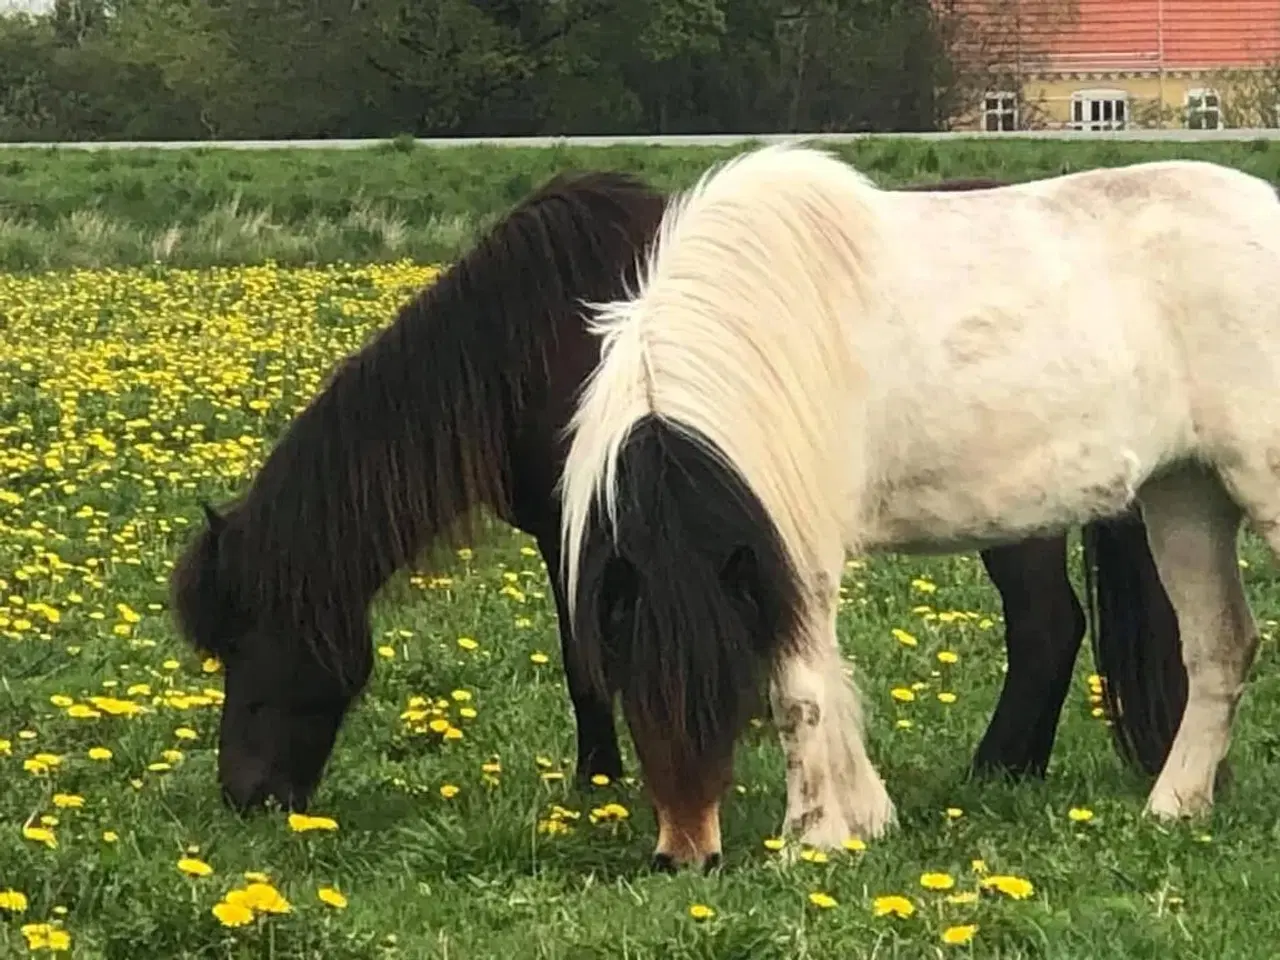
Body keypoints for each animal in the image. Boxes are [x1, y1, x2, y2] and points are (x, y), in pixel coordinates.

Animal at [169, 163, 1180, 821]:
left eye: (250, 643)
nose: (245, 796)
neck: (542, 338)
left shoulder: (588, 526)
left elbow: (584, 662)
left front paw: (599, 785)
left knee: (1045, 626)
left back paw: (993, 772)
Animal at [558, 142, 1270, 872]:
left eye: (723, 693)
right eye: (629, 689)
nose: (685, 857)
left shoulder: (797, 556)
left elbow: (801, 693)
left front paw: (808, 838)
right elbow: (829, 682)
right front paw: (863, 819)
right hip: (1186, 497)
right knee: (1220, 647)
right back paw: (1174, 807)